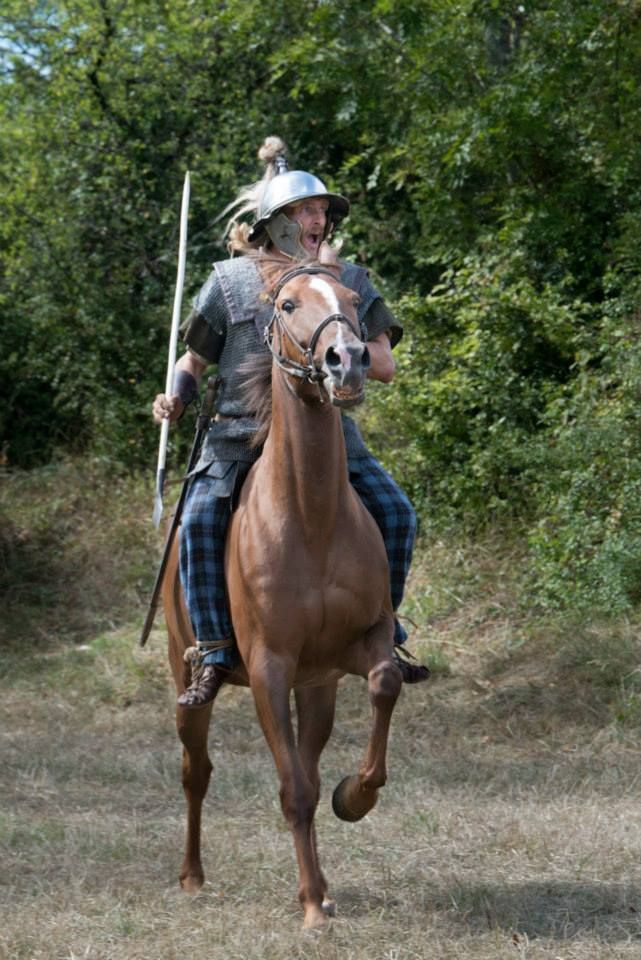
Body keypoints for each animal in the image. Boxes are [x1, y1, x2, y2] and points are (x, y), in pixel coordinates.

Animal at [161, 256, 400, 928]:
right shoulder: (269, 667)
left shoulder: (354, 647)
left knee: (309, 768)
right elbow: (292, 788)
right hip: (186, 675)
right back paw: (192, 876)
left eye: (352, 300)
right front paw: (312, 909)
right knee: (196, 771)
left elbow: (385, 685)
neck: (310, 517)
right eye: (289, 305)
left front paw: (356, 797)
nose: (348, 359)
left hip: (316, 688)